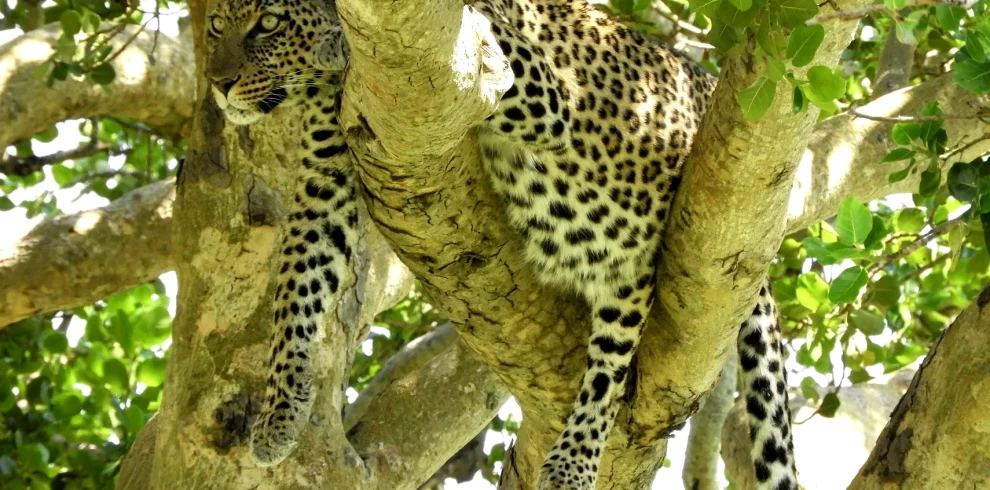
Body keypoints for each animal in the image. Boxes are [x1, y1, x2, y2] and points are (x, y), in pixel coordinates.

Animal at [204, 0, 797, 489]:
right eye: (214, 26)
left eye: (268, 23)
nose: (218, 83)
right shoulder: (326, 173)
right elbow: (296, 286)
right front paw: (279, 414)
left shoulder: (530, 85)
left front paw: (335, 42)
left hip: (632, 268)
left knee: (611, 369)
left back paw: (573, 461)